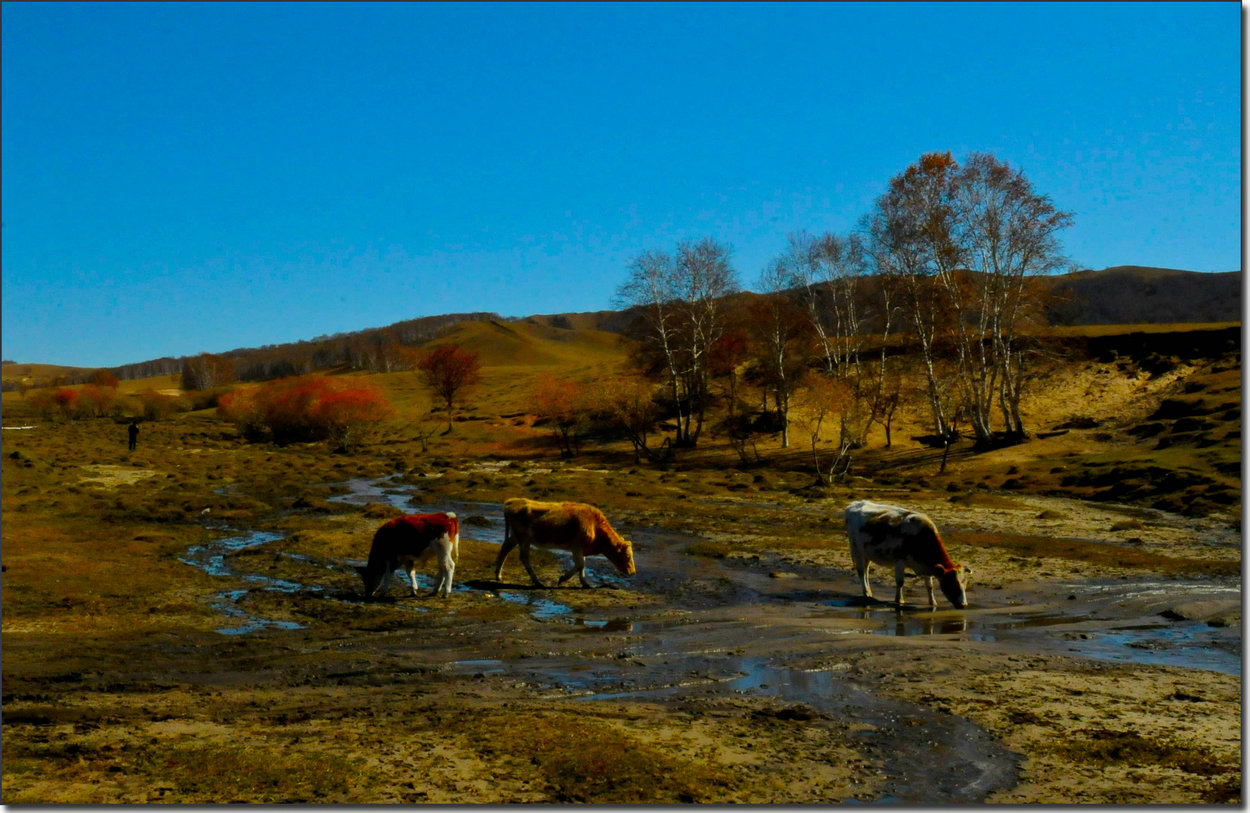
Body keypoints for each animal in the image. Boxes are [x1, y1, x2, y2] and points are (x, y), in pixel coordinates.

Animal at [492, 497, 635, 585]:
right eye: (627, 556)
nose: (633, 572)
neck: (595, 526)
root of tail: (511, 502)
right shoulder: (576, 546)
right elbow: (580, 564)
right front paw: (563, 578)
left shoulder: (581, 549)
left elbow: (583, 564)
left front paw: (584, 582)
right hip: (524, 538)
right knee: (524, 557)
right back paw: (537, 581)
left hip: (515, 537)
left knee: (505, 549)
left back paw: (498, 576)